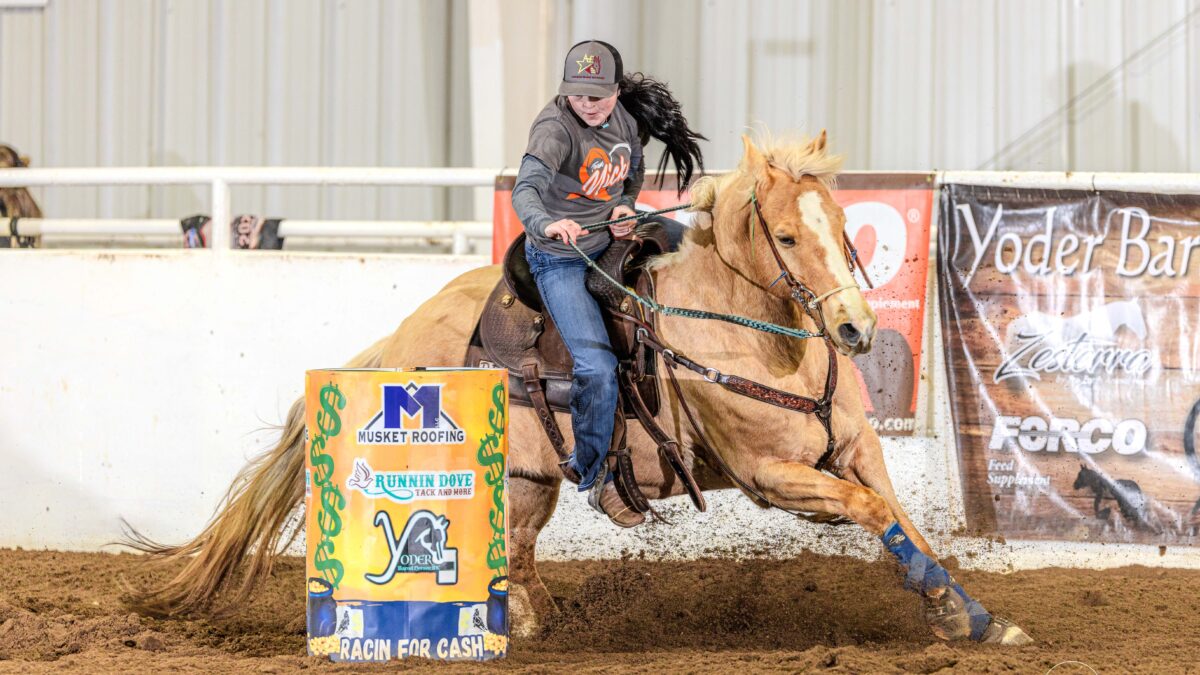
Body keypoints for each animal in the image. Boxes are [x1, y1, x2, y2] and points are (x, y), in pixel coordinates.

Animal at [124, 132, 1031, 646]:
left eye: (843, 229)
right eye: (782, 235)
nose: (855, 329)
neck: (761, 339)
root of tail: (396, 340)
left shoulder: (856, 446)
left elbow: (901, 519)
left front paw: (971, 614)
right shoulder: (772, 476)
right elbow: (874, 512)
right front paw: (955, 611)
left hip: (530, 480)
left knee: (519, 554)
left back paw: (535, 622)